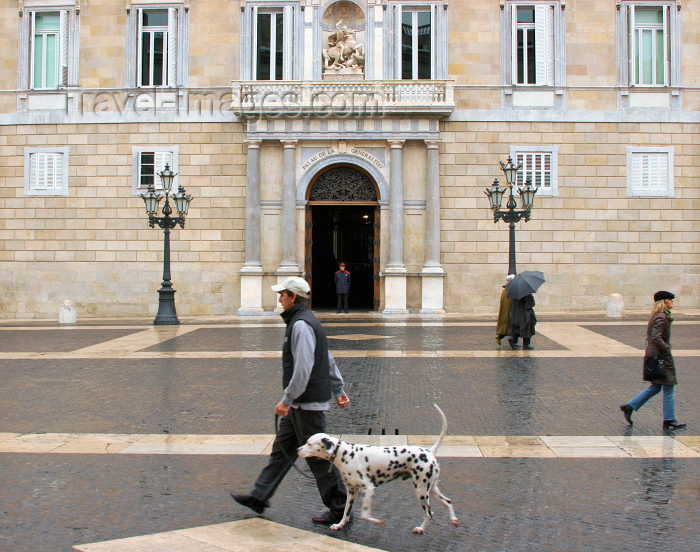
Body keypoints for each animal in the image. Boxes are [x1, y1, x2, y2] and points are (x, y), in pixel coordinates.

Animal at [296, 404, 456, 532]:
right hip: (431, 489)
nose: (297, 449)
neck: (346, 454)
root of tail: (429, 451)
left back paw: (421, 529)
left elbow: (365, 514)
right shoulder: (352, 491)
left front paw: (377, 522)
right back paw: (454, 520)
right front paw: (339, 525)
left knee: (429, 513)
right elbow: (346, 512)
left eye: (309, 443)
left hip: (421, 491)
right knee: (447, 502)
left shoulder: (369, 488)